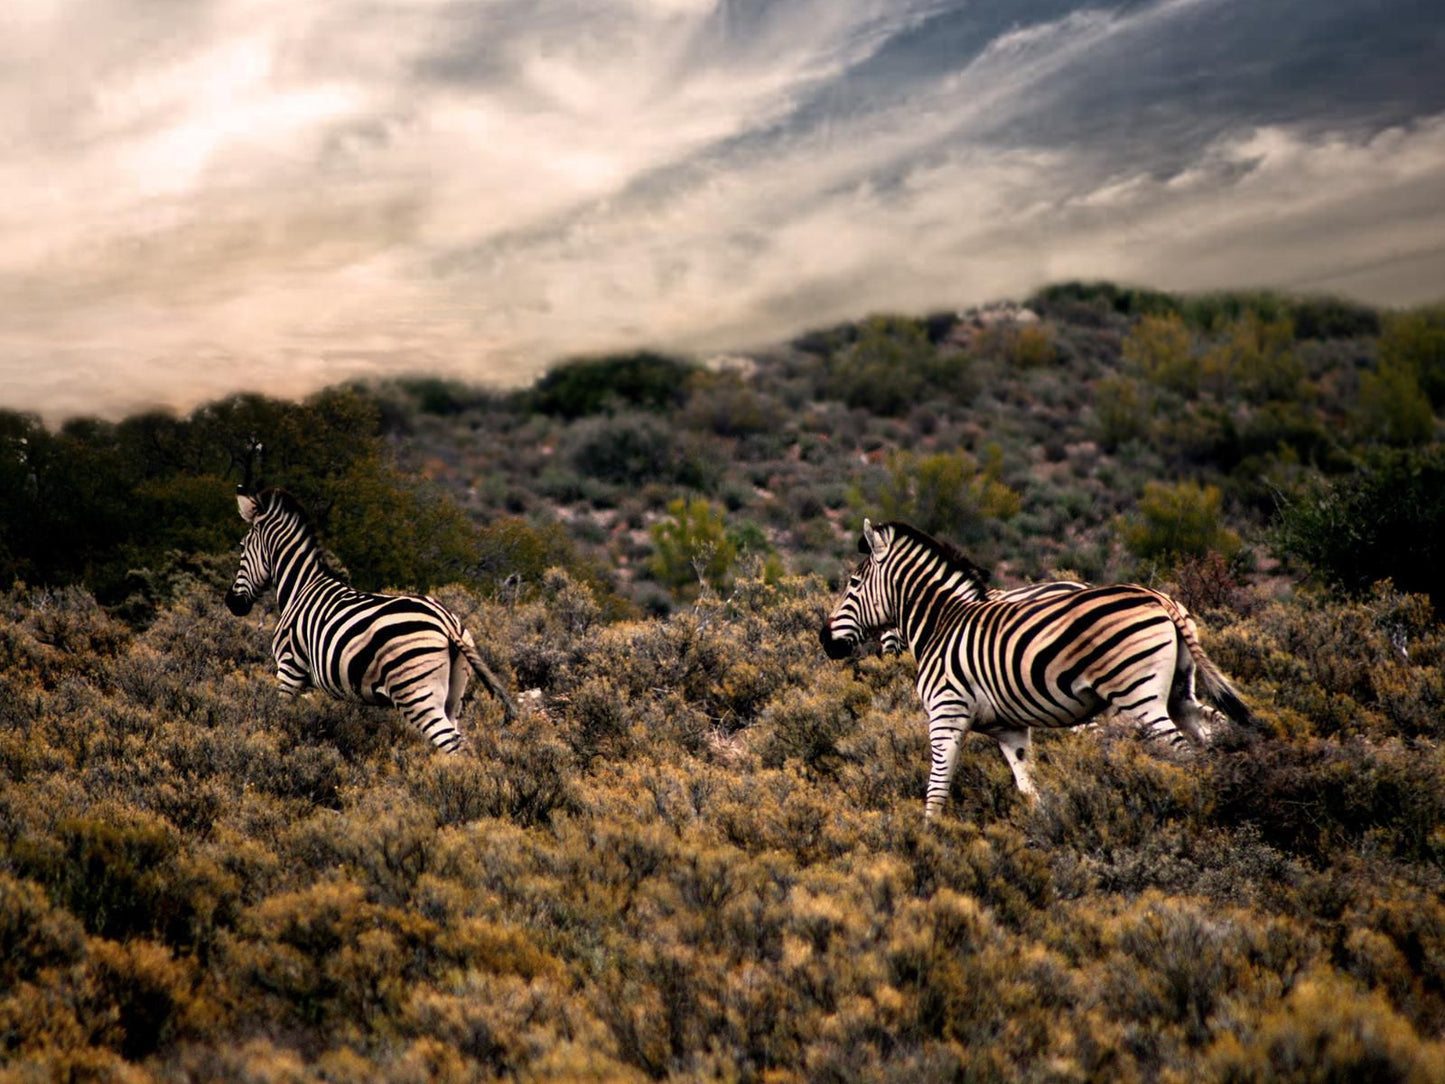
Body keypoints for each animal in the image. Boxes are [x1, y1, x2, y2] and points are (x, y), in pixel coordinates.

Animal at [225, 491, 520, 757]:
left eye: (242, 546)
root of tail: (446, 621)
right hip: (454, 693)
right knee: (461, 742)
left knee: (452, 744)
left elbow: (280, 716)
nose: (232, 604)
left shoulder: (290, 666)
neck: (301, 586)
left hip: (417, 695)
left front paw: (274, 747)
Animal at [820, 523, 1260, 820]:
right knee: (1211, 732)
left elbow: (936, 789)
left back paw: (1197, 807)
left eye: (853, 583)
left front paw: (926, 842)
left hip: (1138, 695)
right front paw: (1042, 834)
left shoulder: (946, 714)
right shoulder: (1009, 728)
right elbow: (1029, 788)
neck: (941, 623)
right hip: (1179, 692)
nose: (825, 641)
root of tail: (1157, 597)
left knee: (1182, 750)